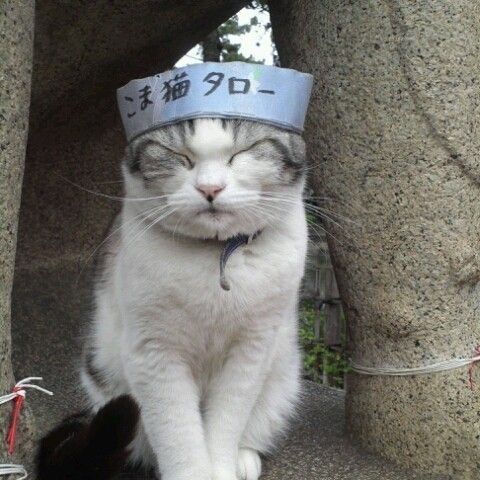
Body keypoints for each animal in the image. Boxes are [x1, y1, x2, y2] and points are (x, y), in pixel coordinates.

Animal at [38, 117, 308, 480]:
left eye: (241, 152)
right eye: (180, 156)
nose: (210, 189)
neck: (216, 256)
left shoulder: (252, 349)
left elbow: (227, 422)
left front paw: (223, 469)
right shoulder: (155, 354)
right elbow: (178, 436)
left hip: (282, 375)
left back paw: (244, 458)